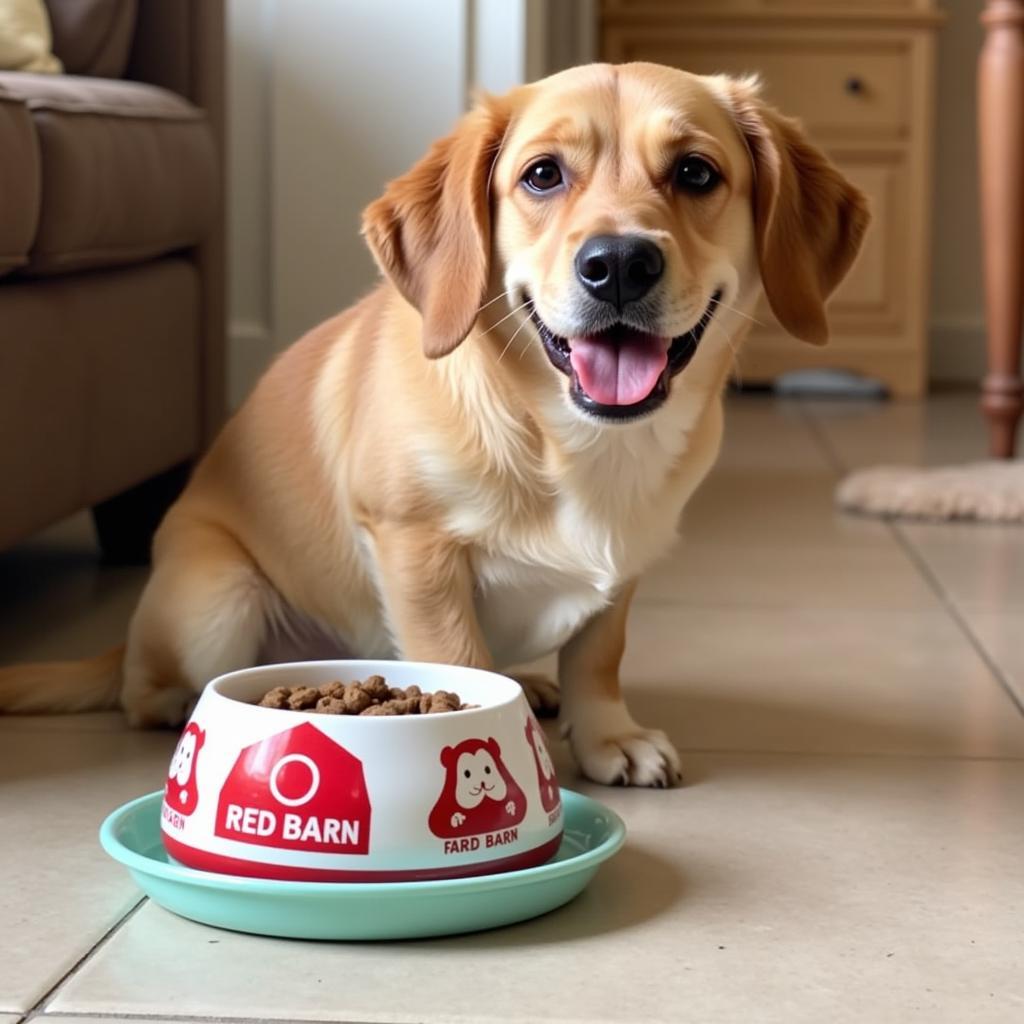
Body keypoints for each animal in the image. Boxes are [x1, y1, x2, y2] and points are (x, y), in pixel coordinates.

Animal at [0, 61, 864, 782]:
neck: (566, 439)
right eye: (543, 175)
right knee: (143, 693)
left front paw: (606, 735)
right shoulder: (415, 549)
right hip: (218, 597)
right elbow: (458, 657)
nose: (618, 263)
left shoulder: (626, 567)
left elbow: (598, 655)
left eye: (695, 171)